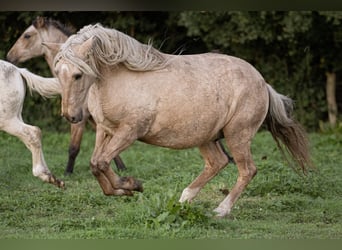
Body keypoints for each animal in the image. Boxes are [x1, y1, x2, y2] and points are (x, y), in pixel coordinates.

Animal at [0, 58, 64, 188]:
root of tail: (18, 70)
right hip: (16, 117)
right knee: (31, 139)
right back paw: (52, 177)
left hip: (6, 120)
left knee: (33, 132)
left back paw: (43, 174)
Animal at [6, 16, 127, 176]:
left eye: (27, 35)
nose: (9, 56)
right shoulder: (92, 119)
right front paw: (121, 168)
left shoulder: (79, 119)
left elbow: (74, 147)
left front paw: (67, 173)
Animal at [52, 23, 312, 218]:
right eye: (57, 73)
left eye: (78, 75)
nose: (70, 116)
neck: (121, 79)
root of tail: (263, 82)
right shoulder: (104, 130)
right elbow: (95, 164)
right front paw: (124, 190)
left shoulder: (130, 131)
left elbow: (102, 163)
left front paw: (132, 185)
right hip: (206, 136)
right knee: (218, 162)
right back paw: (184, 199)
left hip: (237, 134)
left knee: (247, 170)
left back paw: (221, 210)